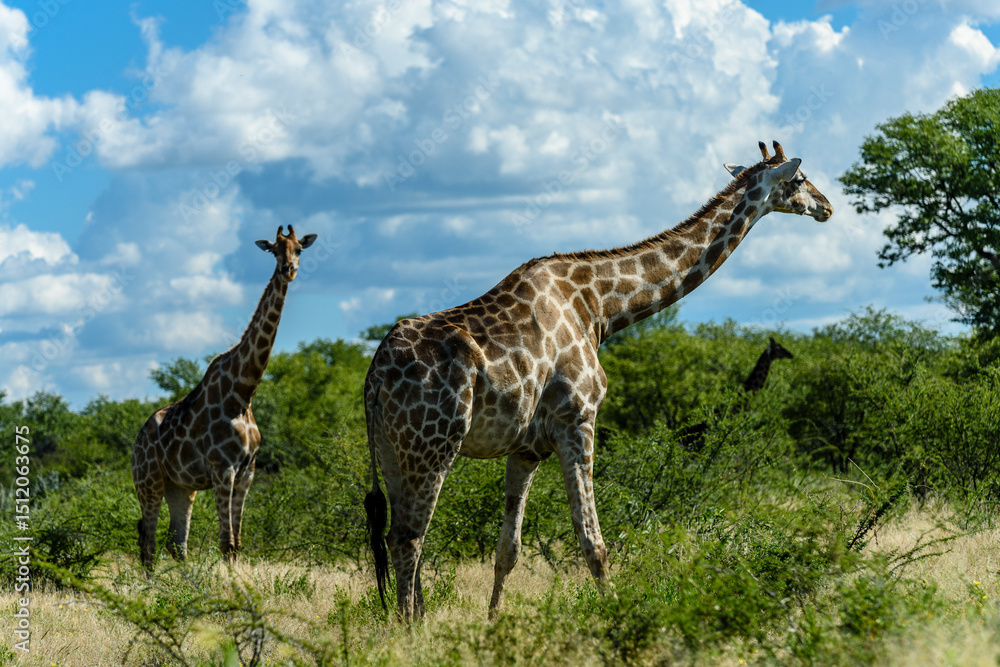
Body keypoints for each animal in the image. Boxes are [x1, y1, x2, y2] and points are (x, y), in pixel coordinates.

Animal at [132, 225, 316, 571]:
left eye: (299, 248)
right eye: (274, 250)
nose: (288, 270)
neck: (243, 393)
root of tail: (135, 442)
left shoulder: (247, 472)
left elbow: (237, 544)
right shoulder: (222, 469)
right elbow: (226, 544)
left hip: (181, 488)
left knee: (176, 544)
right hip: (148, 481)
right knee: (148, 546)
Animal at [363, 141, 833, 621]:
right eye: (799, 178)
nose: (827, 207)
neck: (600, 307)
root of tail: (376, 374)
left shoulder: (526, 448)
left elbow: (508, 549)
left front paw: (493, 622)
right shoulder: (579, 419)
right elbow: (593, 540)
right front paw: (617, 614)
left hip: (390, 450)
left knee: (397, 535)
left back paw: (412, 619)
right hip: (434, 444)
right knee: (409, 538)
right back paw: (412, 629)